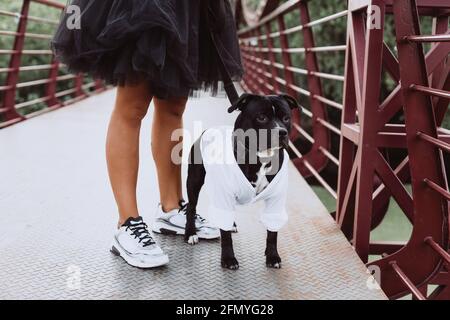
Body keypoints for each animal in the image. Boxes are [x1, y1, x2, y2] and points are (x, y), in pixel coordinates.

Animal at [183, 93, 298, 270]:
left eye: (286, 118)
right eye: (261, 117)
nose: (282, 132)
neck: (261, 158)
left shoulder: (276, 200)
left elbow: (272, 232)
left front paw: (272, 256)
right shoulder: (223, 194)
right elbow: (225, 235)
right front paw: (228, 258)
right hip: (194, 180)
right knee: (191, 206)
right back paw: (190, 234)